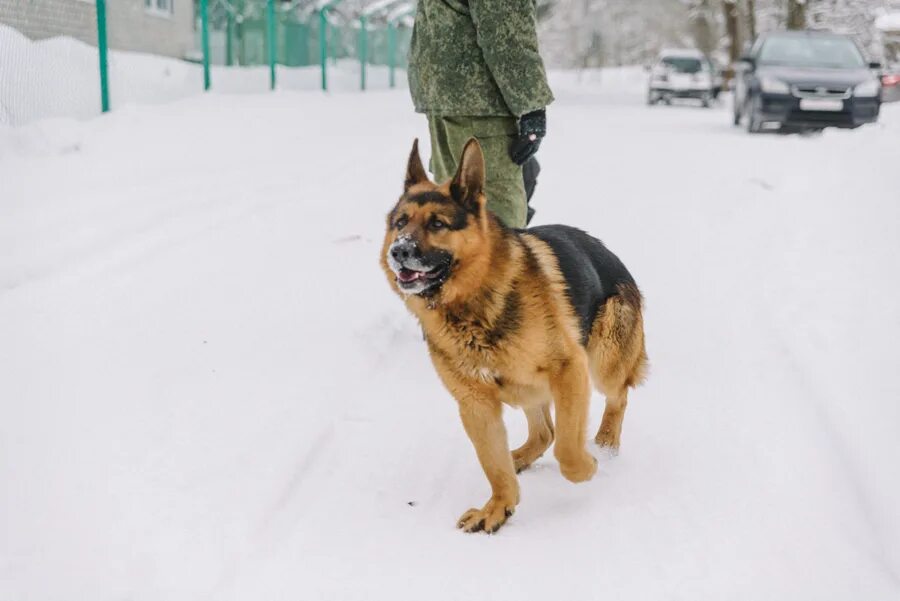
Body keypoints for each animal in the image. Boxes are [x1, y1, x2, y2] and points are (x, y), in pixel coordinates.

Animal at [380, 138, 648, 532]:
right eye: (400, 222)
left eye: (437, 224)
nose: (398, 251)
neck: (473, 306)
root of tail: (608, 251)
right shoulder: (475, 405)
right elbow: (493, 464)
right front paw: (498, 506)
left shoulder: (570, 370)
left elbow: (567, 450)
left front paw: (587, 467)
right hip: (525, 385)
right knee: (544, 432)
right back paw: (520, 456)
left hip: (604, 362)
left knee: (618, 397)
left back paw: (605, 443)